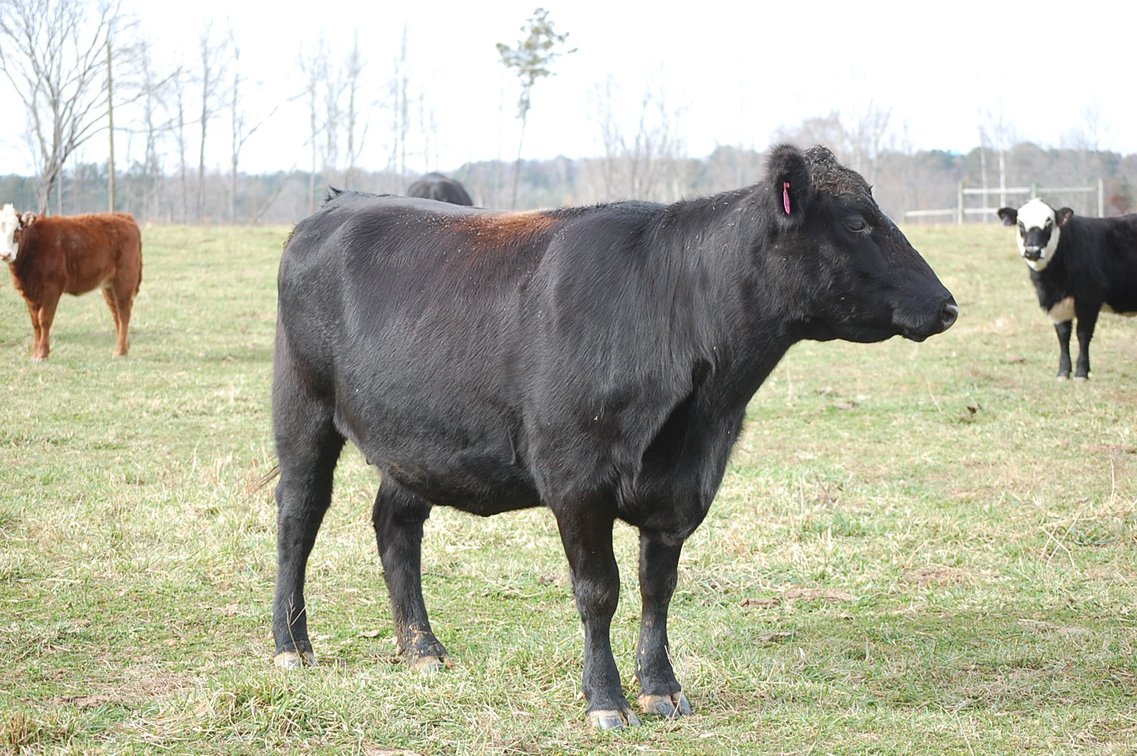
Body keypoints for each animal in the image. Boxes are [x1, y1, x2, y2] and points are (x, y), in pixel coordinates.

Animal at [0, 205, 143, 360]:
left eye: (16, 230)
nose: (5, 254)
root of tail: (124, 217)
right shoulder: (29, 293)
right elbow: (35, 323)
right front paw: (35, 353)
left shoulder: (52, 289)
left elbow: (44, 320)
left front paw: (42, 353)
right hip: (109, 286)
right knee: (116, 313)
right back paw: (124, 348)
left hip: (124, 280)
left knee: (124, 314)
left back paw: (119, 351)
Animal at [271, 144, 958, 729]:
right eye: (857, 222)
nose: (948, 305)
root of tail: (340, 201)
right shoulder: (577, 479)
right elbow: (599, 590)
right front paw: (605, 699)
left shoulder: (682, 485)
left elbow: (658, 590)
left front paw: (661, 688)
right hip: (301, 408)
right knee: (298, 519)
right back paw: (291, 646)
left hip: (419, 441)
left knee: (396, 524)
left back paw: (422, 648)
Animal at [997, 198, 1137, 379]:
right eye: (1021, 224)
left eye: (1049, 224)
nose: (1033, 251)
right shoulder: (1057, 305)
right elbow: (1063, 335)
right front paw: (1063, 372)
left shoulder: (1089, 299)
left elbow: (1083, 334)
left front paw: (1081, 373)